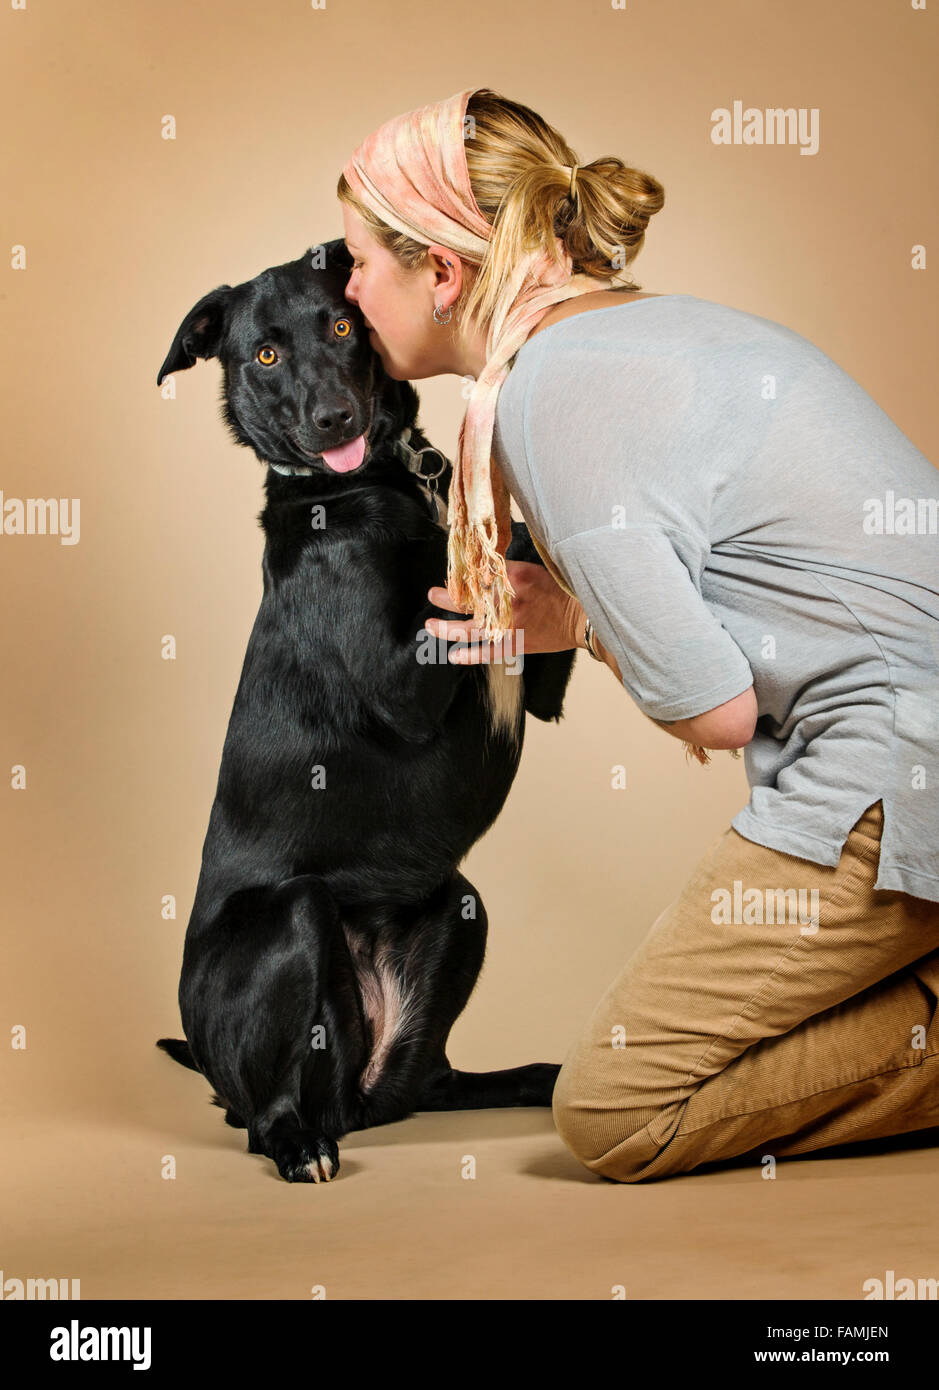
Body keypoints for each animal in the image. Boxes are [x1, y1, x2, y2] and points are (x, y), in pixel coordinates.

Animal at [155, 241, 572, 1184]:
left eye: (344, 327)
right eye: (265, 354)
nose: (334, 418)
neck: (385, 482)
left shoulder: (537, 685)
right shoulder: (406, 681)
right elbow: (490, 562)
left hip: (459, 906)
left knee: (427, 1087)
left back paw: (534, 1076)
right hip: (294, 919)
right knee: (267, 1113)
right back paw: (297, 1144)